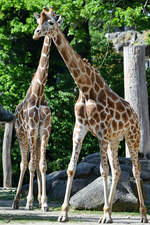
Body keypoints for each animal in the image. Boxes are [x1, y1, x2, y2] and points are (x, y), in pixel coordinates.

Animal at [32, 7, 148, 223]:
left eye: (51, 22)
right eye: (39, 21)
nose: (36, 33)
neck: (85, 87)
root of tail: (135, 115)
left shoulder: (101, 131)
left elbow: (102, 171)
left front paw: (104, 215)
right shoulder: (80, 128)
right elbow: (71, 168)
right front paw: (63, 213)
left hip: (132, 136)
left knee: (135, 170)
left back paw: (143, 215)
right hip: (114, 140)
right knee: (118, 170)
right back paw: (111, 212)